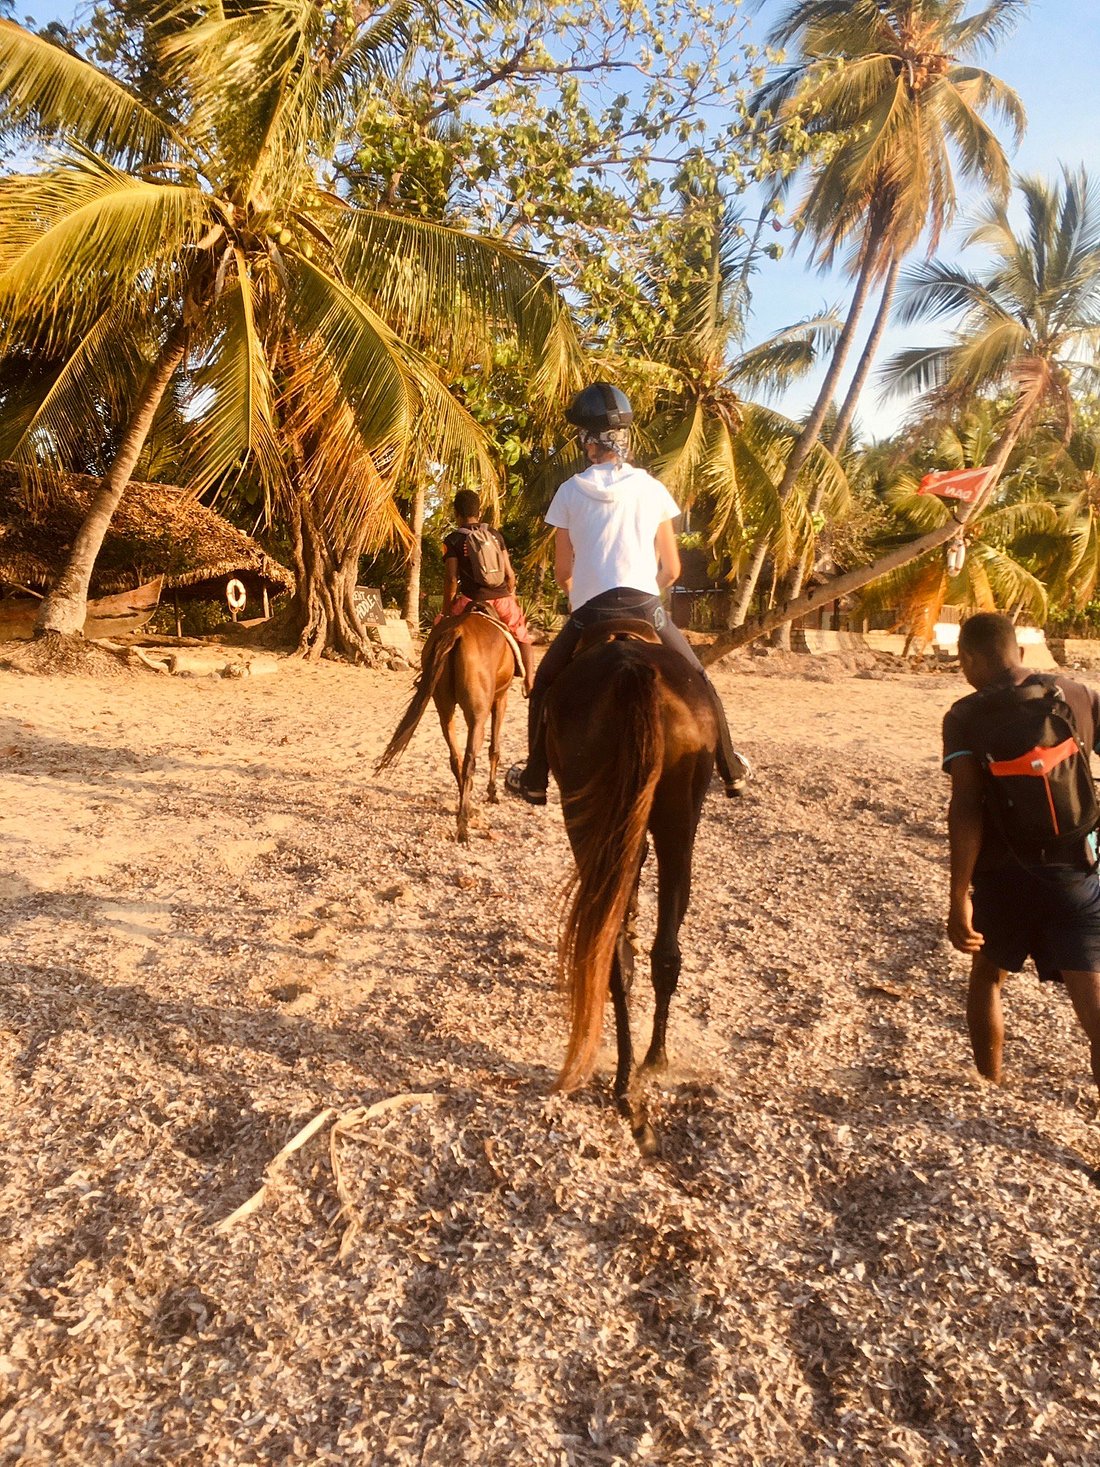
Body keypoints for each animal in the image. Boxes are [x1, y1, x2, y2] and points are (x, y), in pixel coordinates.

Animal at [378, 604, 516, 839]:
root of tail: (456, 631)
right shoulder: (501, 699)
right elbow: (495, 749)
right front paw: (492, 793)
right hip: (477, 716)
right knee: (469, 759)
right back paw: (463, 824)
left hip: (444, 709)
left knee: (455, 757)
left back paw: (465, 808)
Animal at [548, 624, 718, 1150]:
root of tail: (633, 669)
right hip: (673, 820)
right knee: (657, 952)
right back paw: (646, 1067)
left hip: (598, 821)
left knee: (618, 951)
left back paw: (629, 1082)